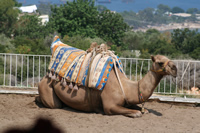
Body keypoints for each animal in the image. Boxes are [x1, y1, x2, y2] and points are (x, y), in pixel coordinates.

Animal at [36, 43, 177, 117]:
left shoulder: (127, 100)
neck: (126, 87)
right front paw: (137, 112)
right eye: (160, 62)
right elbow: (136, 113)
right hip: (47, 88)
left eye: (168, 58)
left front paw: (144, 110)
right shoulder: (110, 106)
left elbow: (142, 109)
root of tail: (45, 76)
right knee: (54, 104)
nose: (175, 68)